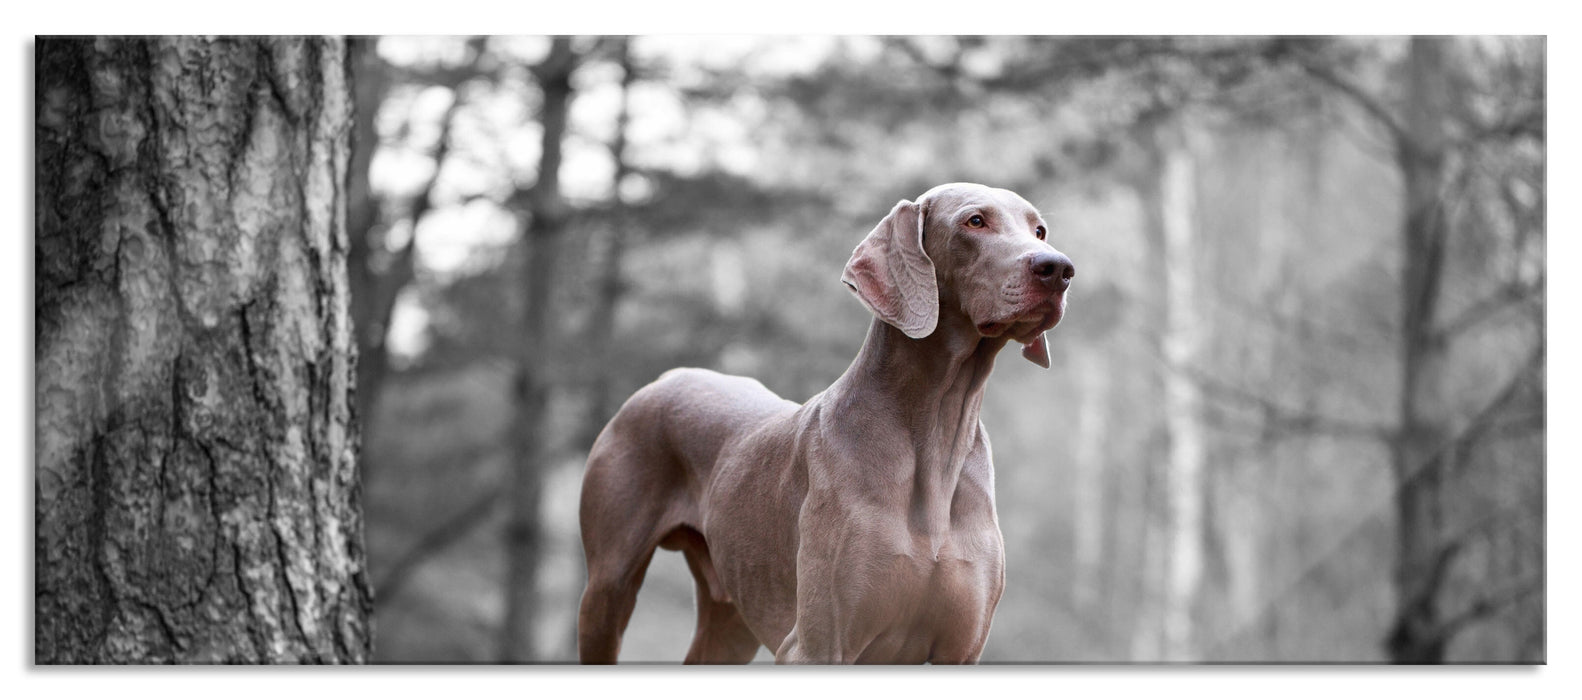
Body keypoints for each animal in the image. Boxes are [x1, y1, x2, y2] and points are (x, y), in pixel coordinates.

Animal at [582, 180, 1075, 661]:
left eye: (1039, 230)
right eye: (975, 221)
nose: (1060, 269)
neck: (938, 435)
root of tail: (666, 377)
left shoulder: (961, 651)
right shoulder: (817, 645)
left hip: (731, 617)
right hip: (607, 590)